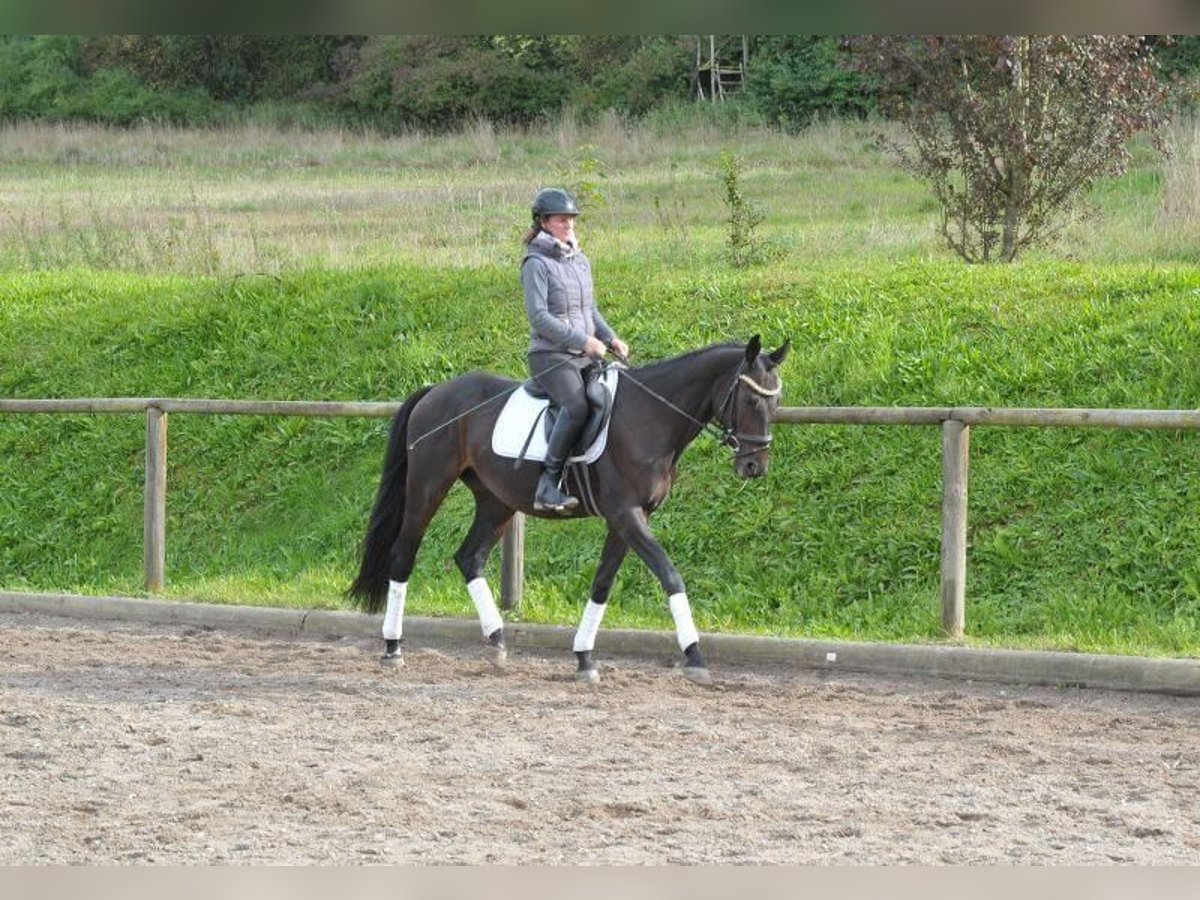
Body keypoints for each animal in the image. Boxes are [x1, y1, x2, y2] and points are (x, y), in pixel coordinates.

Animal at [348, 336, 787, 681]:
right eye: (751, 398)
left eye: (776, 400)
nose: (755, 467)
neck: (651, 417)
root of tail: (435, 390)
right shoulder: (627, 514)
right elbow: (670, 575)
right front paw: (694, 655)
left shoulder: (629, 519)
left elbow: (602, 584)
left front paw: (584, 658)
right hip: (427, 486)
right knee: (403, 555)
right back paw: (393, 648)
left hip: (496, 500)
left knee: (469, 557)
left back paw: (497, 643)